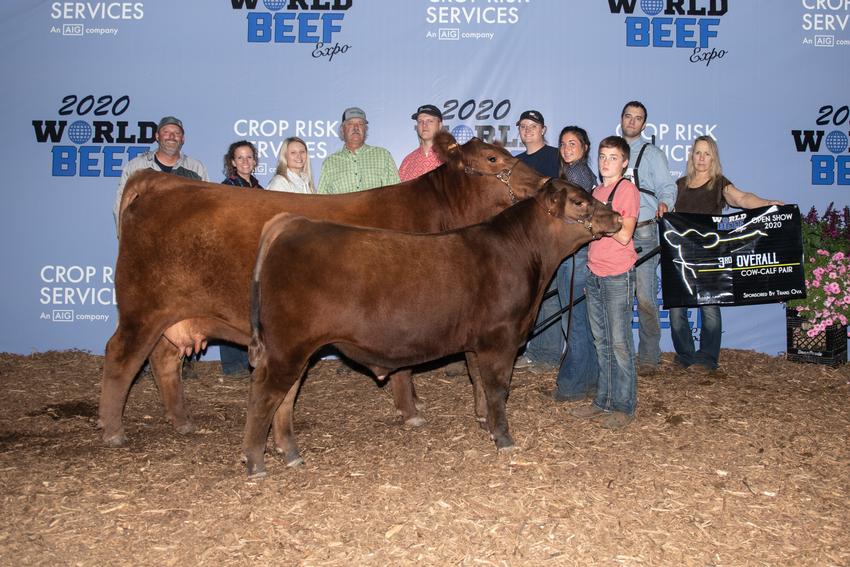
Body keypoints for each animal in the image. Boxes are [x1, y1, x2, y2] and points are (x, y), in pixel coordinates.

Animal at [99, 132, 549, 448]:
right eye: (493, 158)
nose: (545, 180)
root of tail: (156, 181)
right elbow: (404, 366)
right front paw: (412, 412)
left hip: (174, 315)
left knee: (164, 360)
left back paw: (182, 421)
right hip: (142, 306)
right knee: (120, 357)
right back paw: (113, 430)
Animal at [244, 179, 623, 477]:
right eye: (579, 202)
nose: (618, 217)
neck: (523, 256)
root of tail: (293, 222)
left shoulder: (475, 343)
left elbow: (478, 383)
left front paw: (484, 423)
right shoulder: (500, 338)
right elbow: (497, 388)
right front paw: (504, 438)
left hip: (295, 348)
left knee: (286, 397)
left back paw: (291, 454)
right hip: (287, 347)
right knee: (264, 396)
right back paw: (255, 462)